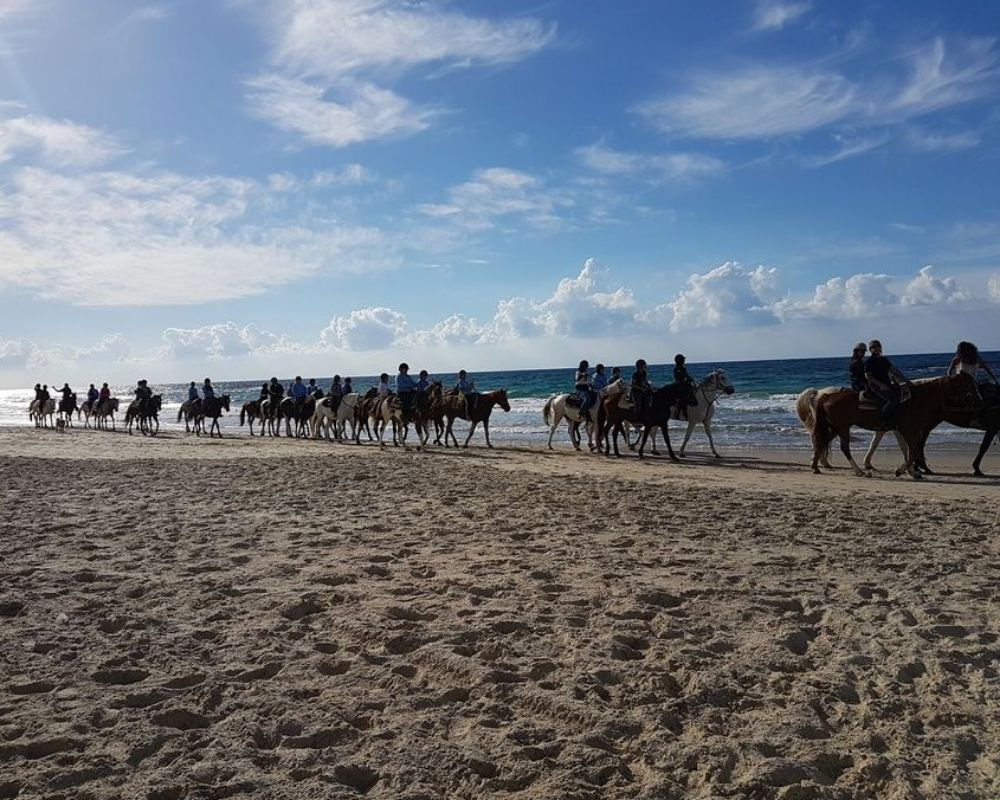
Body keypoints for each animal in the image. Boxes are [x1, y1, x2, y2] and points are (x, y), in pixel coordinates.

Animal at [812, 372, 976, 478]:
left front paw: (911, 472)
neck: (916, 399)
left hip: (834, 428)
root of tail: (827, 396)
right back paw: (859, 471)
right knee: (844, 448)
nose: (977, 399)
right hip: (842, 428)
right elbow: (913, 450)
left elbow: (906, 449)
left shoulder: (901, 430)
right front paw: (901, 470)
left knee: (822, 442)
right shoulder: (909, 429)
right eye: (967, 384)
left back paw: (815, 467)